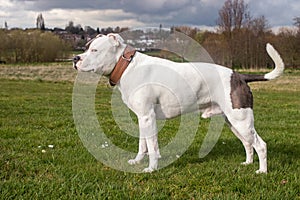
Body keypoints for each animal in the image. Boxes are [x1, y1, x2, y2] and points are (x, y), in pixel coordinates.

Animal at [72, 33, 284, 173]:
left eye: (95, 50)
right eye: (85, 47)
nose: (75, 58)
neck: (126, 66)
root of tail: (239, 76)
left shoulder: (148, 117)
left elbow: (152, 146)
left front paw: (151, 168)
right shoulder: (142, 117)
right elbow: (143, 144)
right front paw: (138, 161)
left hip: (242, 121)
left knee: (260, 145)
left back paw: (262, 171)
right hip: (234, 122)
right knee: (248, 143)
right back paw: (248, 163)